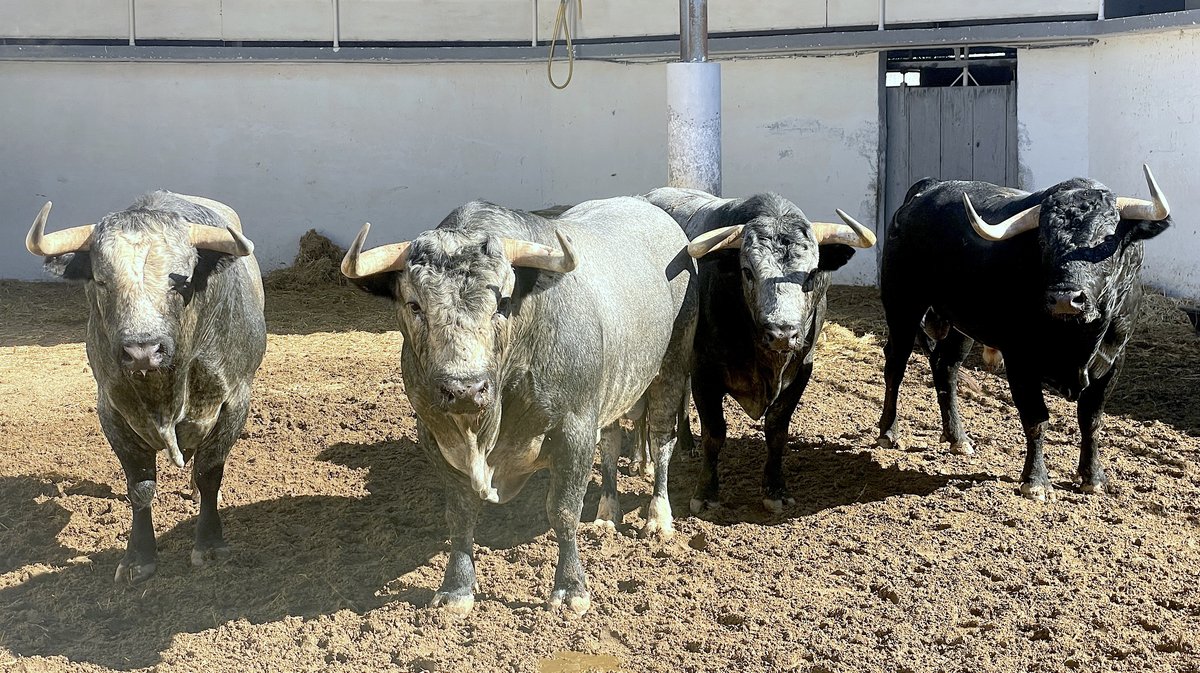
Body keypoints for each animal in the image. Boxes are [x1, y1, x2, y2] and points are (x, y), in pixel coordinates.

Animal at [26, 190, 272, 583]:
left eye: (181, 282)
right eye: (101, 281)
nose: (142, 350)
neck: (165, 392)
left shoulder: (234, 403)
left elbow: (209, 474)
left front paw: (209, 544)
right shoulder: (113, 411)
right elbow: (140, 487)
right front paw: (138, 557)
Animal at [340, 194, 696, 614]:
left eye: (503, 302)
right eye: (414, 305)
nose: (464, 389)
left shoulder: (575, 428)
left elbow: (562, 510)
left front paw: (571, 588)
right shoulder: (434, 437)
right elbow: (459, 515)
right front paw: (456, 588)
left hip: (671, 368)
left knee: (661, 439)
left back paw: (658, 518)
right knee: (610, 442)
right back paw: (608, 513)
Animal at [643, 189, 878, 513]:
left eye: (811, 274)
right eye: (748, 271)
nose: (782, 333)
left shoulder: (802, 370)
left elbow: (777, 430)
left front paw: (775, 490)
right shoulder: (704, 370)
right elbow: (714, 433)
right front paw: (706, 493)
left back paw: (687, 445)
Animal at [873, 164, 1171, 499]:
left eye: (1107, 238)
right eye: (1043, 241)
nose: (1065, 298)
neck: (1077, 339)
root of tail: (928, 189)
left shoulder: (1113, 360)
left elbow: (1091, 420)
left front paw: (1093, 478)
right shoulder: (1020, 359)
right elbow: (1036, 419)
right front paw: (1036, 481)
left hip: (960, 326)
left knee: (945, 369)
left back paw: (958, 438)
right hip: (903, 306)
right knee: (895, 365)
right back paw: (888, 432)